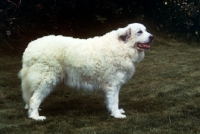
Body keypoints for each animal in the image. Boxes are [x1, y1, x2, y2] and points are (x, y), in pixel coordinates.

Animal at [18, 22, 153, 120]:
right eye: (139, 32)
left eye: (146, 30)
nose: (152, 37)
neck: (122, 47)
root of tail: (30, 47)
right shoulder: (113, 84)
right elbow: (115, 100)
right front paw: (117, 115)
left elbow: (111, 101)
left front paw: (114, 111)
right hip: (46, 79)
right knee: (34, 99)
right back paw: (36, 117)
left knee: (31, 96)